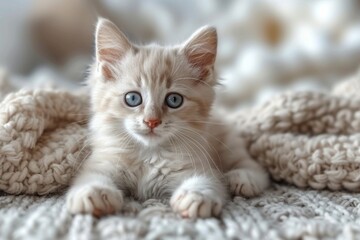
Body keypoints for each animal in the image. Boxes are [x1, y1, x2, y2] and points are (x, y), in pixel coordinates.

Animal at [67, 17, 270, 218]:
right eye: (132, 98)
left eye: (174, 100)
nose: (152, 121)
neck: (149, 154)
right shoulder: (103, 162)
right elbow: (91, 177)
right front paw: (93, 192)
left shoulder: (199, 164)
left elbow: (208, 180)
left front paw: (195, 196)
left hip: (226, 141)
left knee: (251, 165)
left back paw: (242, 178)